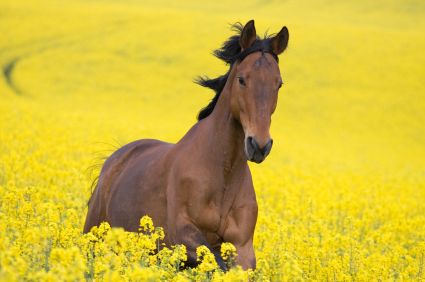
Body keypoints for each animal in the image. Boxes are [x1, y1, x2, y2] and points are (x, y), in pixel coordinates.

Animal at [83, 19, 288, 270]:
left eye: (278, 84)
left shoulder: (242, 247)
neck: (223, 174)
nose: (259, 145)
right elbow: (216, 264)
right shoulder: (182, 235)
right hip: (93, 239)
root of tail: (113, 160)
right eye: (242, 79)